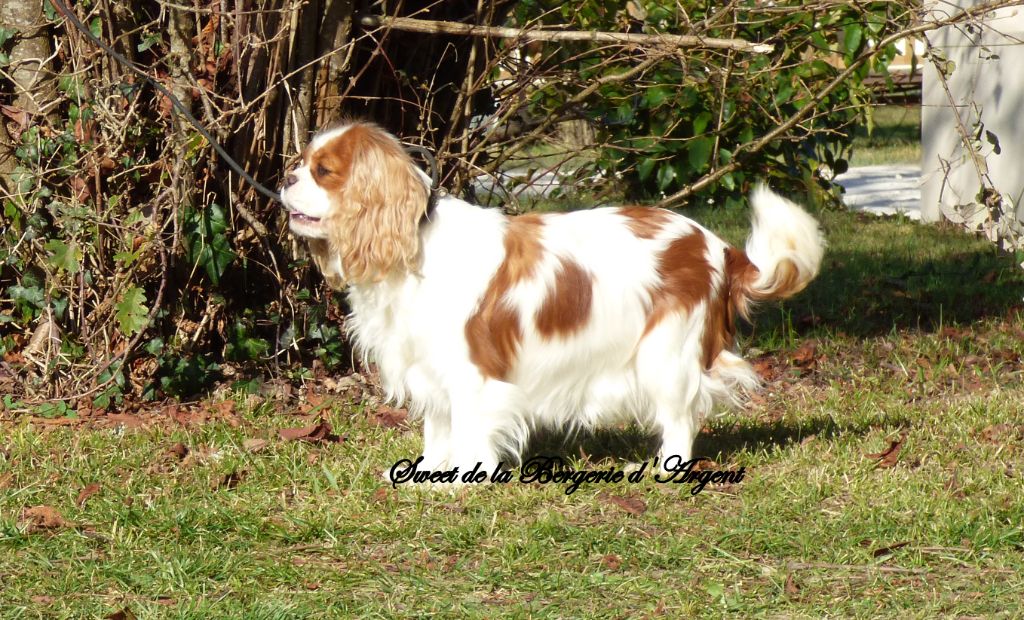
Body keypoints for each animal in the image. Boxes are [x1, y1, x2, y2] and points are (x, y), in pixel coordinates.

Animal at [281, 120, 824, 474]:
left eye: (324, 171)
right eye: (303, 164)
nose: (285, 177)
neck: (414, 240)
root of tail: (716, 245)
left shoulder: (472, 371)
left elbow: (470, 427)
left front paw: (464, 478)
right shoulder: (428, 368)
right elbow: (439, 426)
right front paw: (431, 475)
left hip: (665, 354)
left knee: (680, 418)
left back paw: (665, 470)